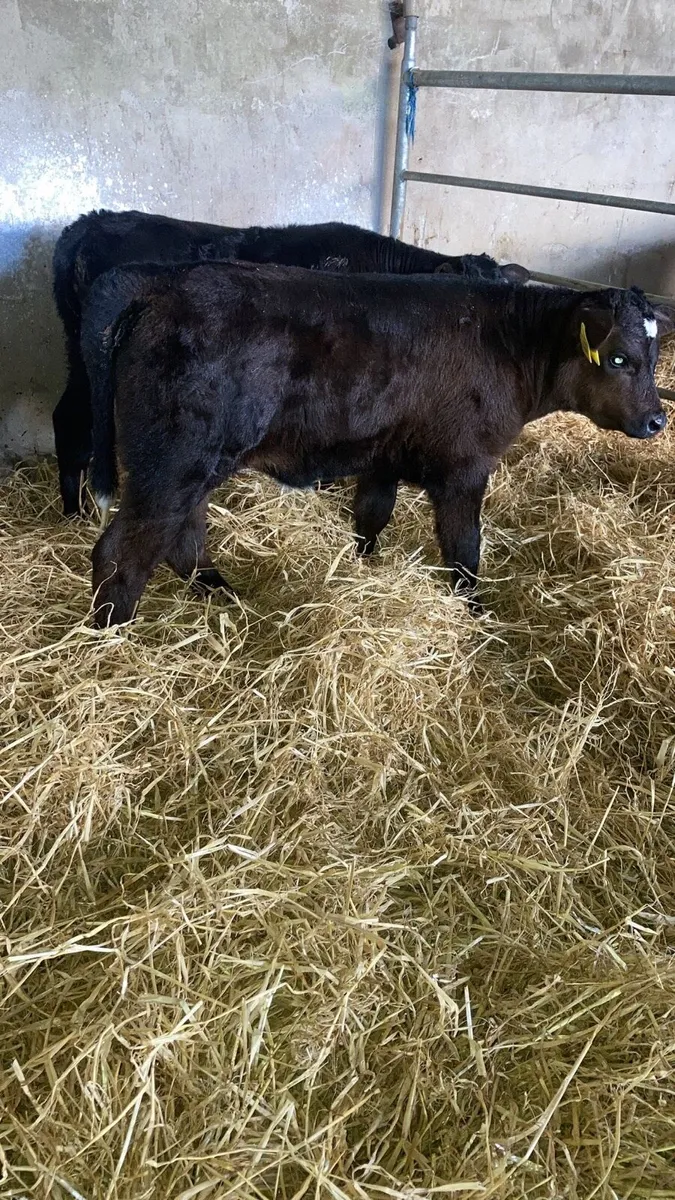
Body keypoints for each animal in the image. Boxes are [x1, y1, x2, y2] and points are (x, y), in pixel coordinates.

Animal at [80, 261, 672, 627]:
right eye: (617, 357)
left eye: (654, 353)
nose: (656, 420)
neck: (508, 344)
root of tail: (160, 292)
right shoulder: (465, 467)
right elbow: (464, 548)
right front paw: (476, 614)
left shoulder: (384, 454)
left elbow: (371, 516)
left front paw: (365, 568)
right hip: (171, 465)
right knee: (122, 551)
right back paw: (112, 635)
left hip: (196, 468)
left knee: (184, 538)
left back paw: (223, 593)